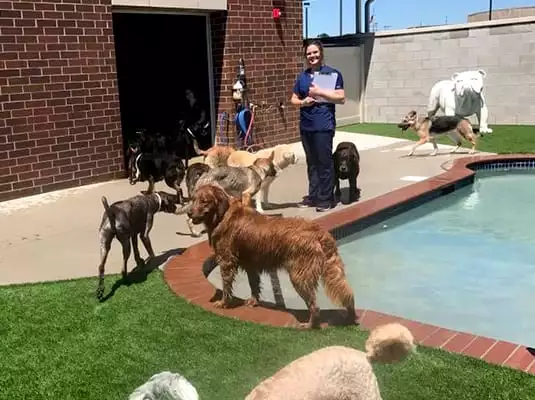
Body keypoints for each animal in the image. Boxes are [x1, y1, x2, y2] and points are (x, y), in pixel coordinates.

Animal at [186, 184, 358, 328]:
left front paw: (223, 303)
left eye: (204, 201)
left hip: (299, 275)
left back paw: (309, 325)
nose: (188, 212)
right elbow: (254, 284)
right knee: (346, 292)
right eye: (193, 199)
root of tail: (319, 232)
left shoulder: (227, 261)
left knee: (315, 306)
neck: (222, 214)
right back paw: (350, 317)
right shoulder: (250, 264)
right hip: (332, 269)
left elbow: (226, 285)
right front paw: (253, 301)